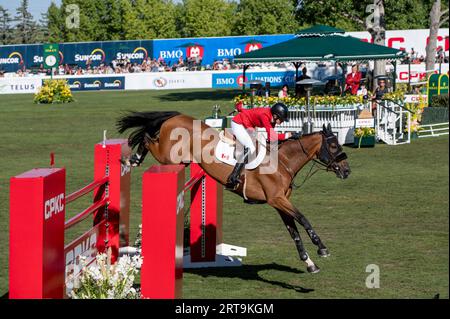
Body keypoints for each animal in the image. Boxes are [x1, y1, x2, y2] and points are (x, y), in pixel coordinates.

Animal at [115, 111, 348, 274]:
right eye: (334, 146)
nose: (347, 171)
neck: (282, 162)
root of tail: (177, 116)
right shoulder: (277, 199)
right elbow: (303, 219)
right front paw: (322, 248)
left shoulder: (279, 202)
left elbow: (294, 232)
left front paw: (309, 263)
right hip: (167, 155)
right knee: (146, 137)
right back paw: (132, 159)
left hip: (179, 160)